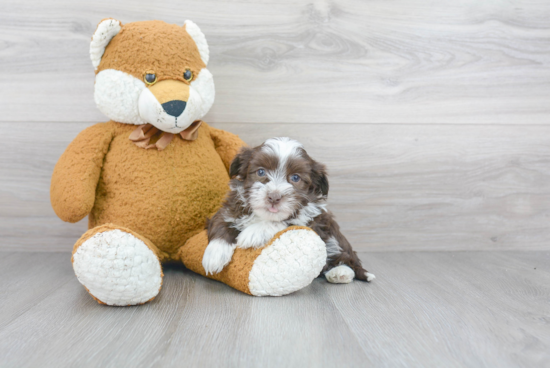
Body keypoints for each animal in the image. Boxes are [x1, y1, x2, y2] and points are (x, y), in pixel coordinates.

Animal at [203, 137, 376, 284]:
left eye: (295, 178)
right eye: (261, 172)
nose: (274, 197)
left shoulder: (315, 221)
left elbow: (287, 222)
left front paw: (254, 232)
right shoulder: (229, 209)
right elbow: (220, 222)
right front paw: (214, 254)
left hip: (334, 235)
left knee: (345, 256)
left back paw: (341, 272)